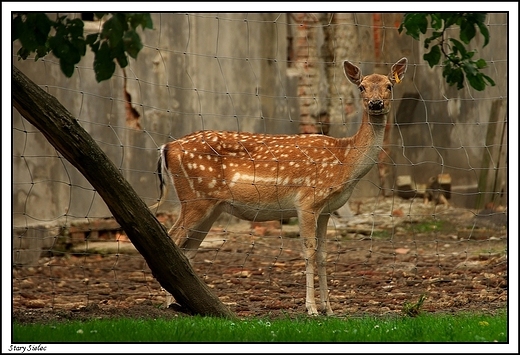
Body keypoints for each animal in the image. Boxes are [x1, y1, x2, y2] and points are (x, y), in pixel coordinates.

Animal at [152, 58, 408, 318]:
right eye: (362, 87)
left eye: (389, 86)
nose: (375, 104)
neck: (345, 160)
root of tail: (166, 147)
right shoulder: (307, 200)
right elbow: (309, 251)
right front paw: (311, 308)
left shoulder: (326, 210)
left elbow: (324, 254)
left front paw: (329, 308)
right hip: (194, 197)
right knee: (172, 239)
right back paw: (169, 305)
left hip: (211, 207)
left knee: (187, 251)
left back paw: (182, 302)